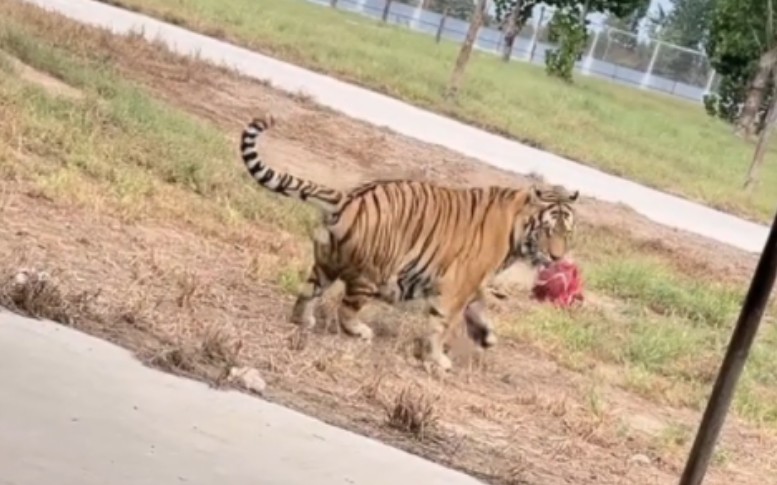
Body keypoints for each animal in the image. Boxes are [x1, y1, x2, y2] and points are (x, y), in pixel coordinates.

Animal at [239, 113, 580, 370]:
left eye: (567, 232)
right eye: (548, 230)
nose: (556, 258)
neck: (517, 230)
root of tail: (346, 197)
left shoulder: (473, 283)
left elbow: (478, 309)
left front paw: (486, 336)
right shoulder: (459, 284)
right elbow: (443, 323)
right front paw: (437, 360)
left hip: (325, 264)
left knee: (306, 293)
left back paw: (304, 320)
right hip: (372, 272)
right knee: (346, 308)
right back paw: (360, 331)